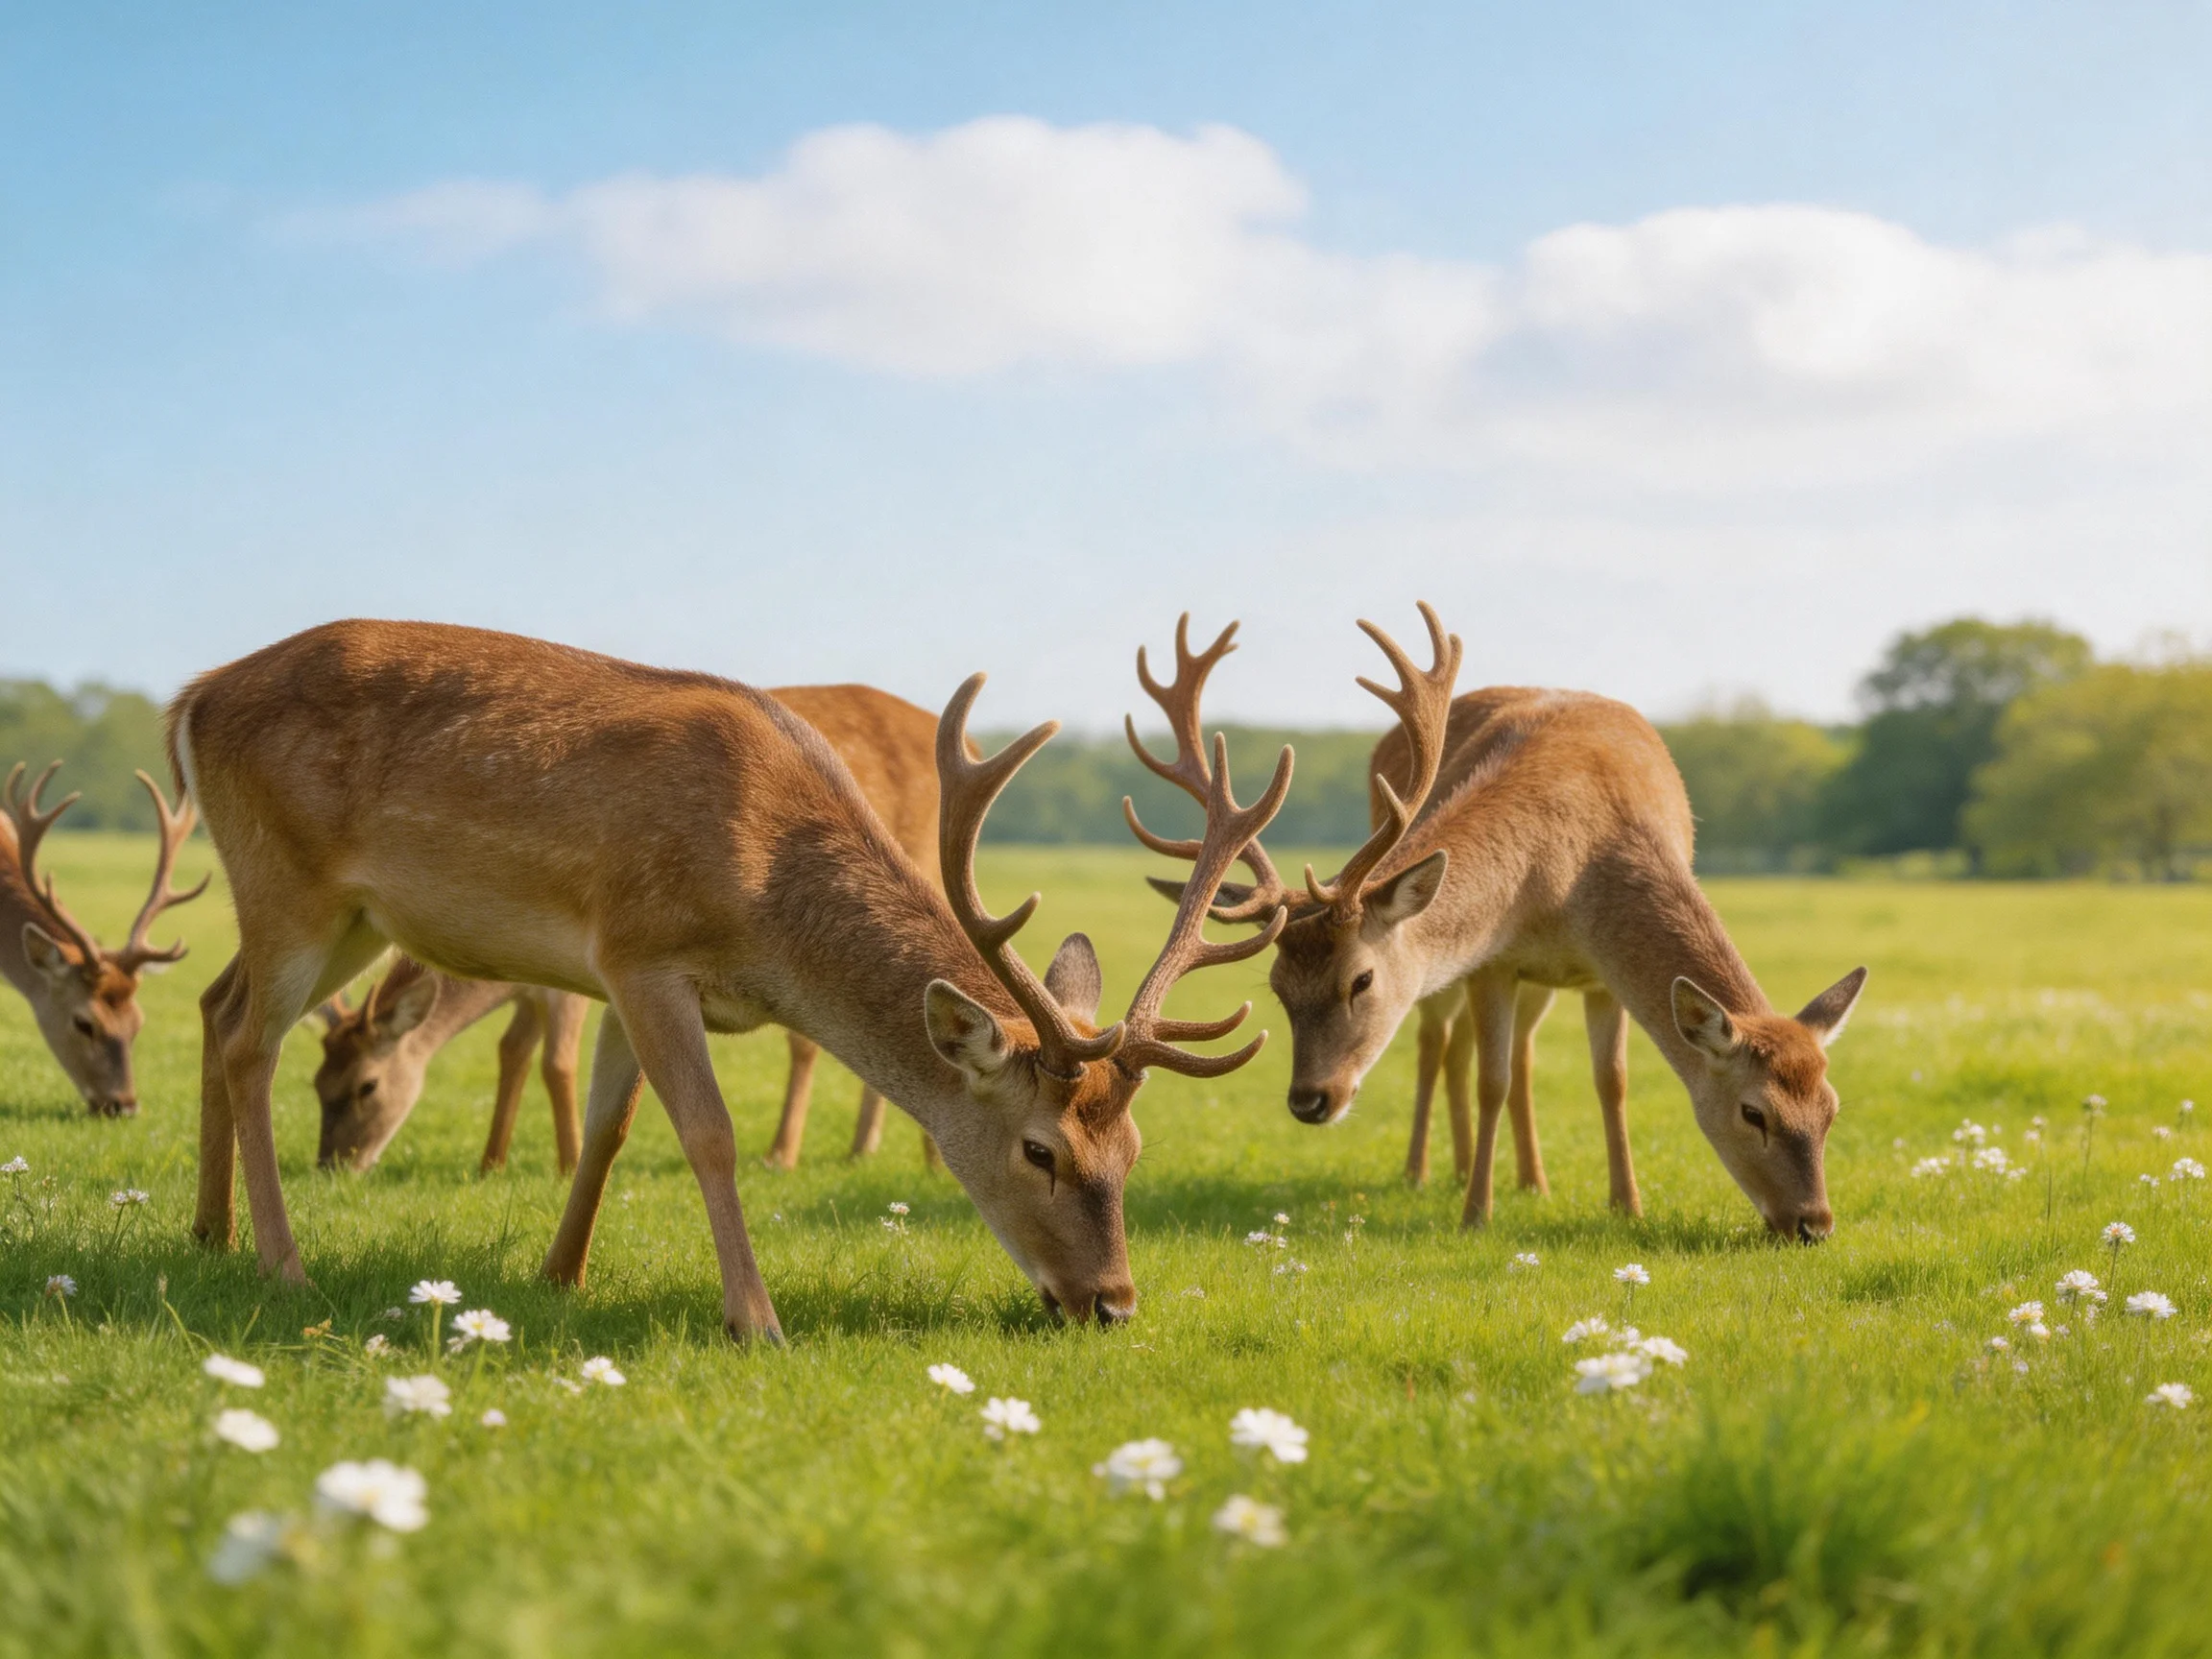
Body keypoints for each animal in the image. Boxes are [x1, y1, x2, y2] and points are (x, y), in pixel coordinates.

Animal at [310, 683, 948, 1179]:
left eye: (366, 1086)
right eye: (317, 1083)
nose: (334, 1166)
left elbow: (555, 1062)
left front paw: (564, 1162)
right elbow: (511, 1050)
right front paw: (491, 1162)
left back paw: (805, 1154)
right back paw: (866, 1148)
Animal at [1132, 607, 1867, 1242]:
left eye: (1832, 1109)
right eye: (1754, 1112)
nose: (1814, 1224)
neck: (1572, 869)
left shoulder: (1597, 977)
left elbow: (1610, 1082)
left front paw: (1625, 1204)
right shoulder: (1491, 961)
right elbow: (1492, 1081)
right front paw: (1475, 1214)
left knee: (1517, 1053)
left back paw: (1529, 1180)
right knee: (1441, 1044)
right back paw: (1432, 1170)